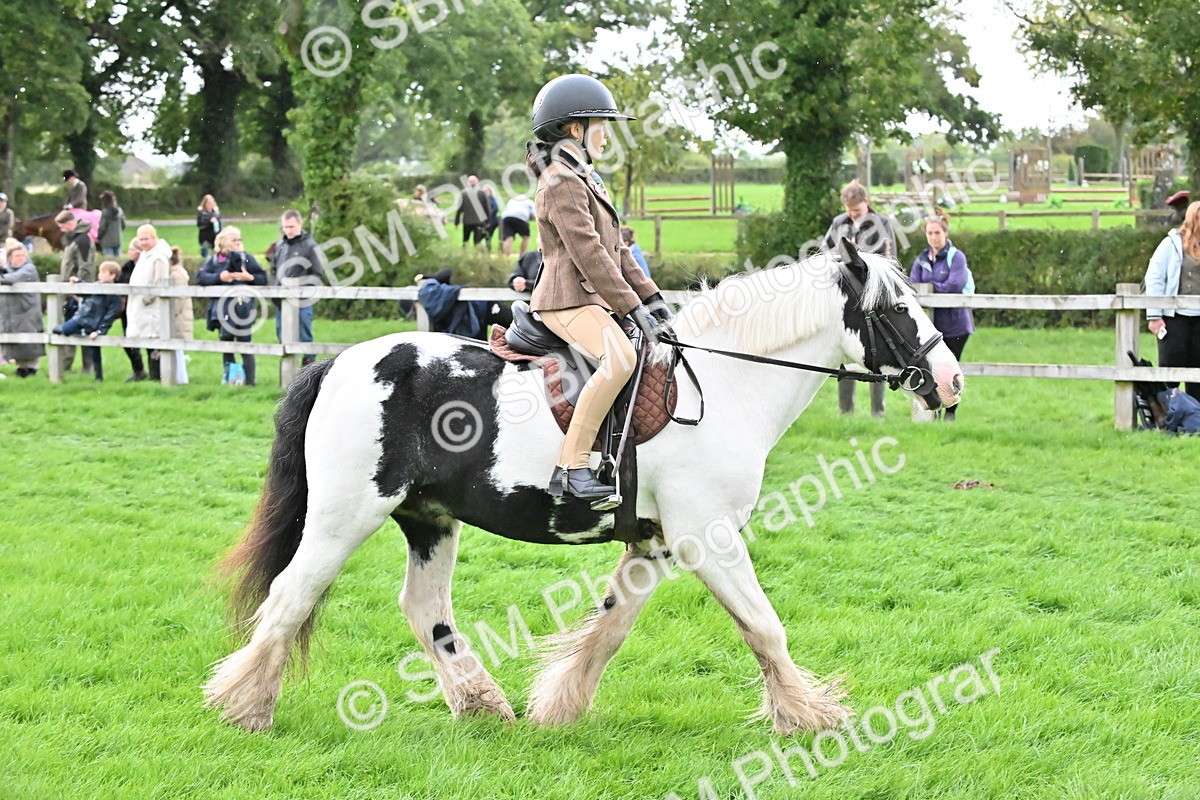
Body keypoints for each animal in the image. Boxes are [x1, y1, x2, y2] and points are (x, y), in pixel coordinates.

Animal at [203, 239, 965, 734]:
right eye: (898, 309)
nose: (952, 381)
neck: (727, 384)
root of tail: (336, 365)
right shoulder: (709, 537)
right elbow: (764, 626)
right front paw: (809, 717)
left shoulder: (654, 544)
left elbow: (611, 626)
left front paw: (560, 707)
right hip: (345, 515)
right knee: (290, 595)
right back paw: (246, 707)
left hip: (429, 518)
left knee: (424, 609)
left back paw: (482, 705)